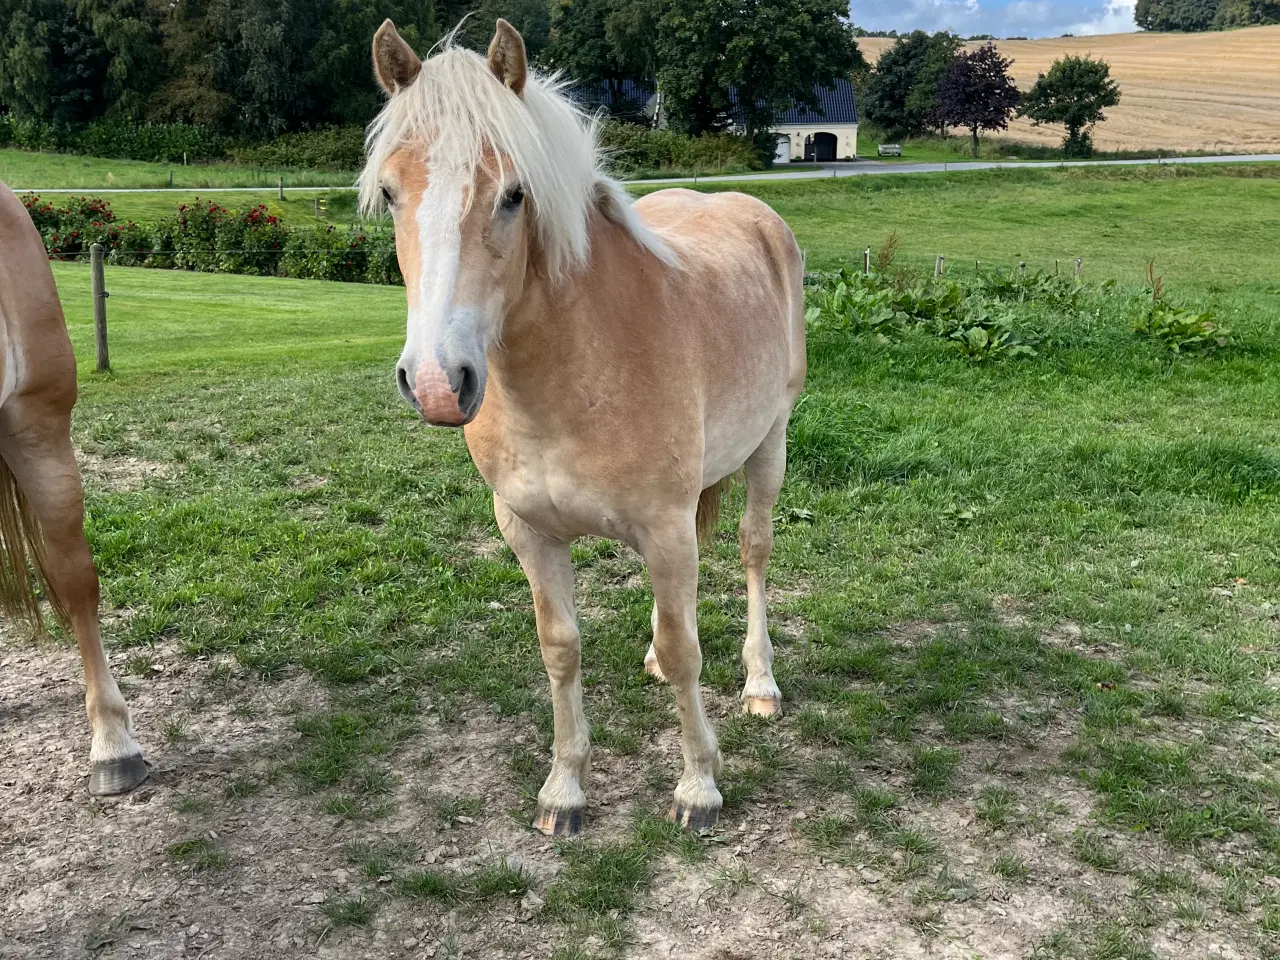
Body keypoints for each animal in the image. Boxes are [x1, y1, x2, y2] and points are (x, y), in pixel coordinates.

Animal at [360, 20, 798, 834]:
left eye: (513, 194)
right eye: (390, 191)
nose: (436, 382)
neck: (575, 373)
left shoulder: (666, 529)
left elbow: (688, 650)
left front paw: (698, 786)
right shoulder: (530, 532)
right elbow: (562, 648)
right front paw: (564, 789)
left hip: (770, 444)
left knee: (754, 550)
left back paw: (761, 683)